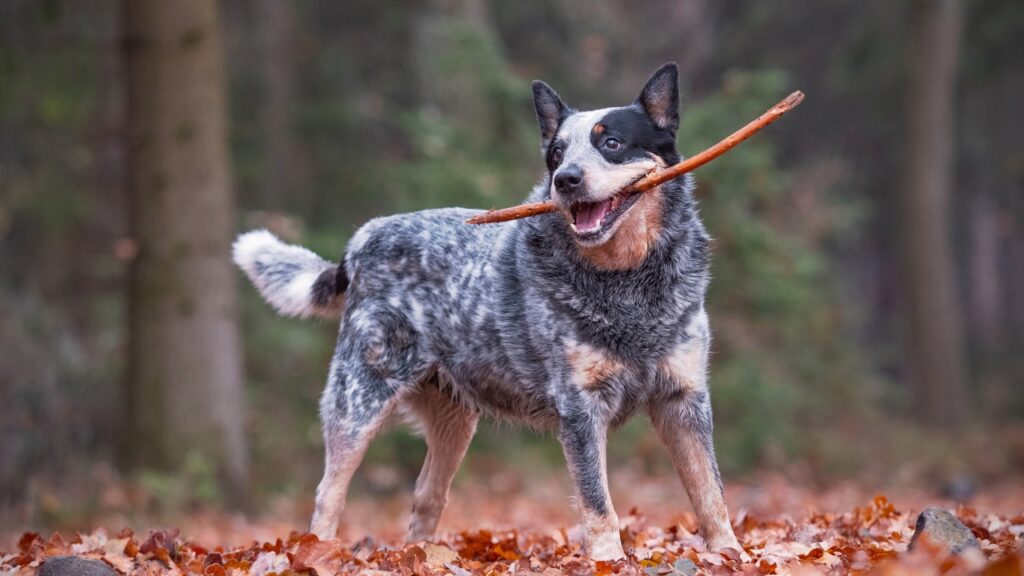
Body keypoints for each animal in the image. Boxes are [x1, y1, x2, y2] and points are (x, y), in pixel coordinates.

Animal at [231, 63, 741, 561]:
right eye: (556, 154)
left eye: (611, 142)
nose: (566, 180)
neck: (629, 280)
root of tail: (361, 239)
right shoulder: (580, 407)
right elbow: (598, 504)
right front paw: (608, 561)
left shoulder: (684, 398)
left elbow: (710, 492)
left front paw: (730, 553)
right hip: (358, 401)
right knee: (328, 493)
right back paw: (318, 550)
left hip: (454, 421)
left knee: (426, 496)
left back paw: (423, 554)